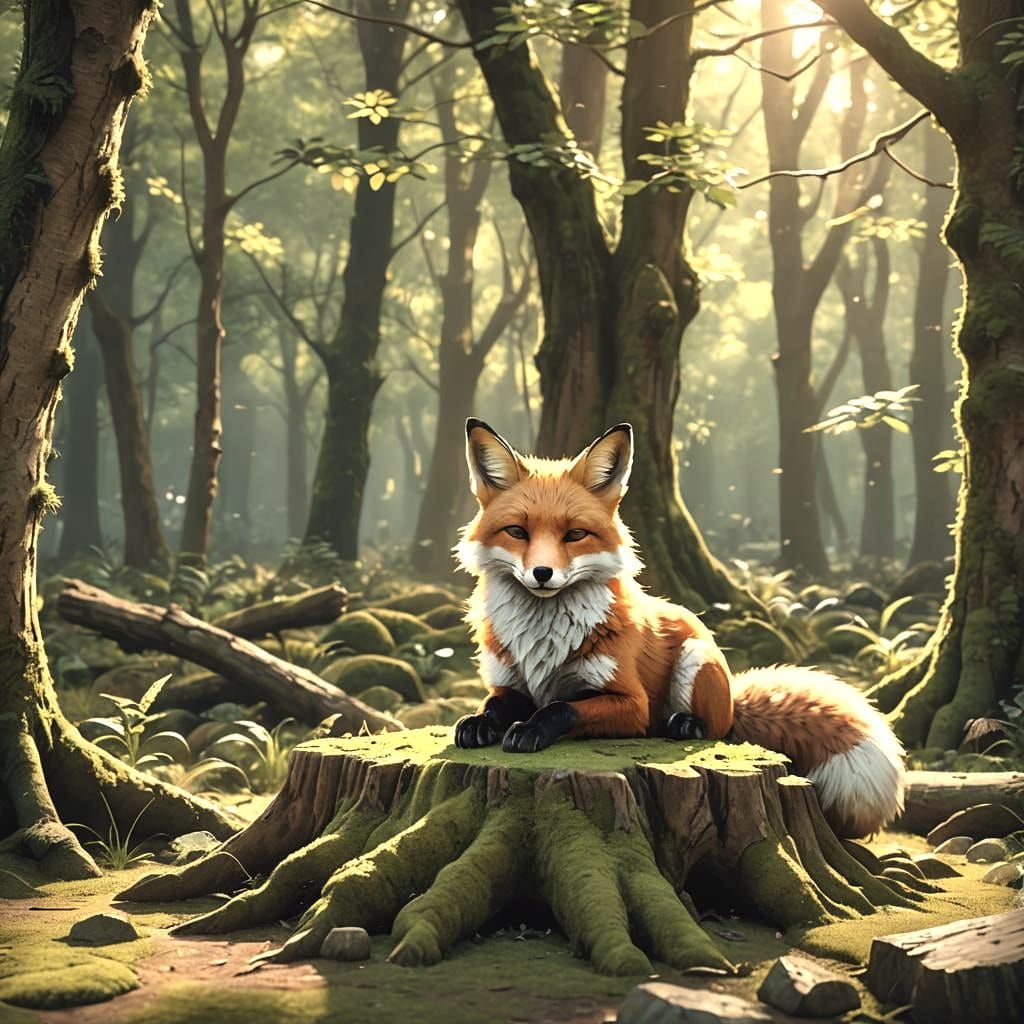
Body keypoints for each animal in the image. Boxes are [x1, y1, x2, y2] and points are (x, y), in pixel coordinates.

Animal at [452, 418, 906, 839]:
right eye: (517, 532)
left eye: (575, 535)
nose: (542, 574)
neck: (542, 641)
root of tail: (733, 695)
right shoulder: (510, 684)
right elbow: (494, 705)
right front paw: (478, 723)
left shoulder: (631, 702)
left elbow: (562, 707)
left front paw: (529, 729)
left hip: (694, 660)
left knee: (718, 728)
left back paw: (685, 724)